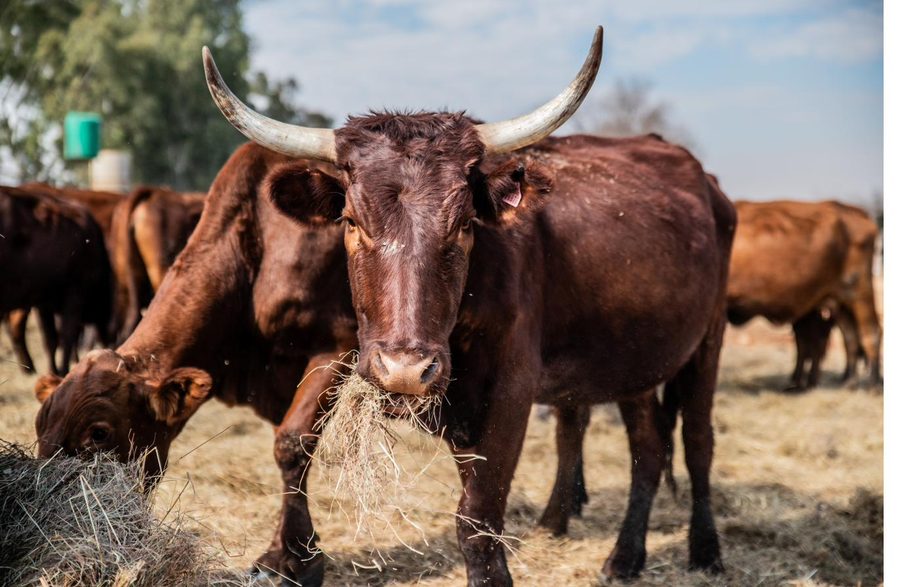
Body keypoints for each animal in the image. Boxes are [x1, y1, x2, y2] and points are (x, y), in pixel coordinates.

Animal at [2, 184, 124, 373]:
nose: (110, 343)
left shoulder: (44, 303)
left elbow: (51, 340)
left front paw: (53, 371)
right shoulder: (75, 293)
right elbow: (67, 336)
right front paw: (63, 370)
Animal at [203, 25, 736, 585]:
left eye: (462, 224)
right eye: (350, 221)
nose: (405, 370)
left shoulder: (511, 390)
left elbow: (478, 521)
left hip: (709, 339)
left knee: (698, 440)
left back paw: (706, 550)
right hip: (632, 357)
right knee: (649, 447)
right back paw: (625, 557)